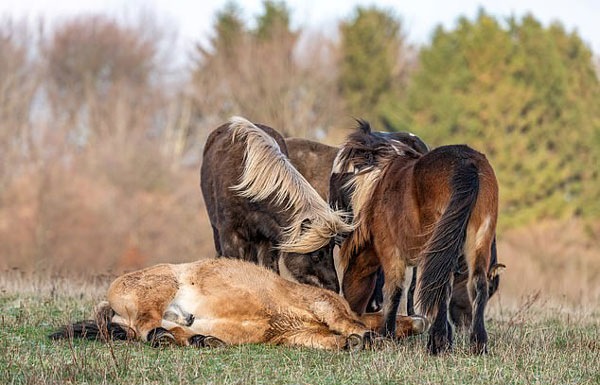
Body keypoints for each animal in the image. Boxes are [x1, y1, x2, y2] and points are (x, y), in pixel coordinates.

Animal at [50, 256, 426, 350]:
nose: (421, 321)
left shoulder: (295, 335)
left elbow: (332, 340)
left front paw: (354, 341)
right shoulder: (321, 302)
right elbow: (348, 322)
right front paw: (366, 337)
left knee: (169, 330)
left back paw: (202, 339)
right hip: (158, 287)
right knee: (147, 324)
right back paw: (168, 336)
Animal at [308, 123, 500, 354]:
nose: (353, 314)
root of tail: (466, 163)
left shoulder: (391, 250)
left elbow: (394, 290)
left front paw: (388, 333)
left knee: (440, 285)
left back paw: (437, 342)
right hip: (479, 240)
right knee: (477, 283)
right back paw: (476, 343)